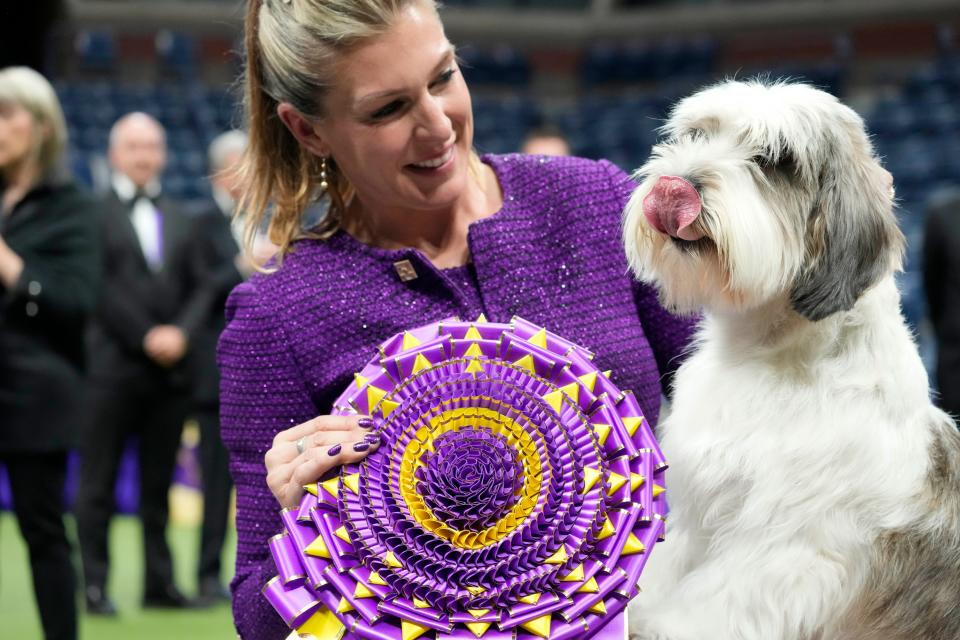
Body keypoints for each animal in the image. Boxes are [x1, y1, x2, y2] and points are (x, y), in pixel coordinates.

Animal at [620, 81, 960, 640]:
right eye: (695, 135)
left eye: (775, 161)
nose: (675, 187)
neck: (767, 353)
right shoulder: (697, 517)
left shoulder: (786, 556)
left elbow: (704, 612)